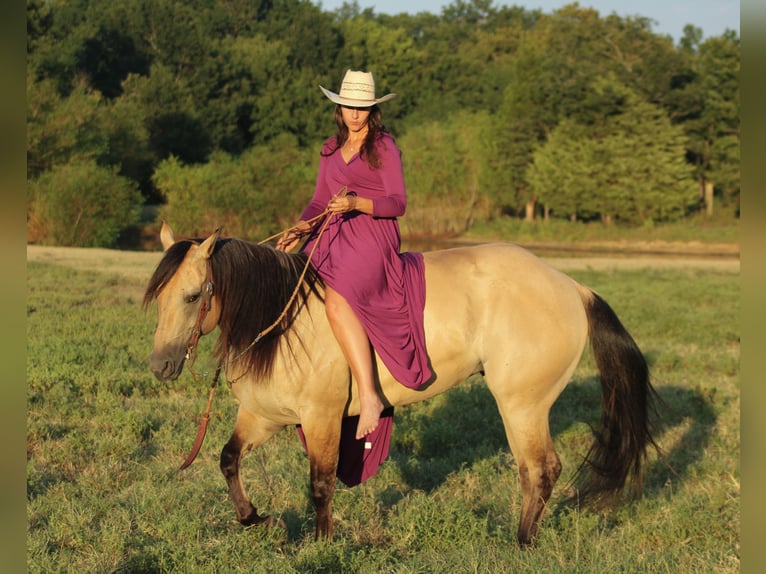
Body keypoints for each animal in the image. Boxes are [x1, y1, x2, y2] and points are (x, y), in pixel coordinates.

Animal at [143, 222, 658, 546]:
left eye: (193, 296)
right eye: (159, 296)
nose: (161, 365)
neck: (281, 321)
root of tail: (571, 287)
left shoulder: (322, 418)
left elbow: (320, 484)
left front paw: (321, 544)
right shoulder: (264, 416)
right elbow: (228, 460)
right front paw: (255, 518)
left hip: (522, 406)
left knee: (540, 469)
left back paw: (523, 543)